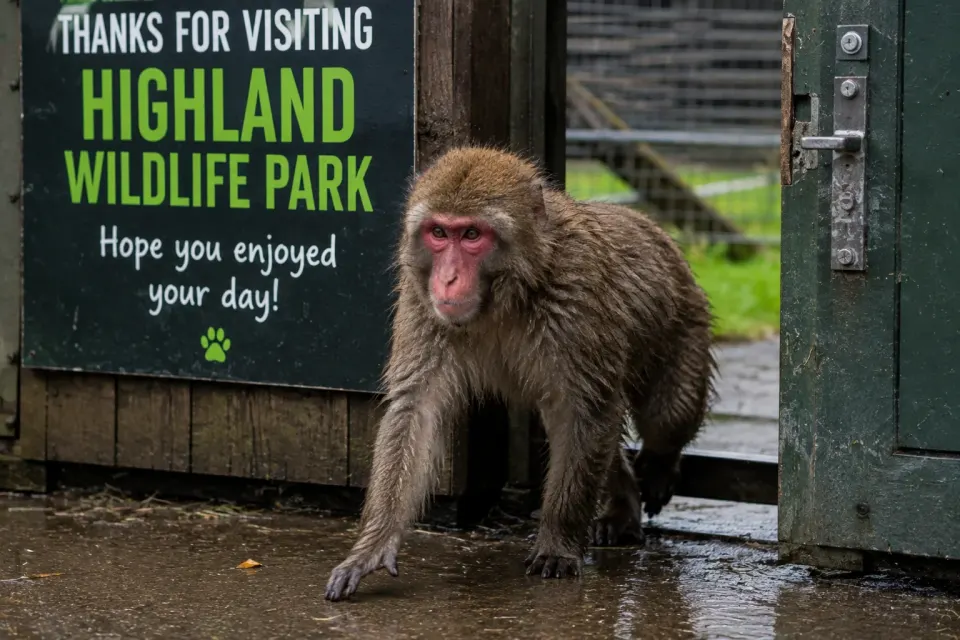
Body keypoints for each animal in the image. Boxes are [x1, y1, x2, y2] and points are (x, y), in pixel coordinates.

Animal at [324, 146, 717, 601]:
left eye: (471, 235)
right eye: (439, 233)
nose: (448, 278)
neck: (507, 293)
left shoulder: (575, 295)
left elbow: (587, 408)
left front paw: (559, 541)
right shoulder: (420, 299)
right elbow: (415, 409)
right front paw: (372, 544)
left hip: (686, 323)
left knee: (664, 420)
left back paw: (657, 467)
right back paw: (622, 505)